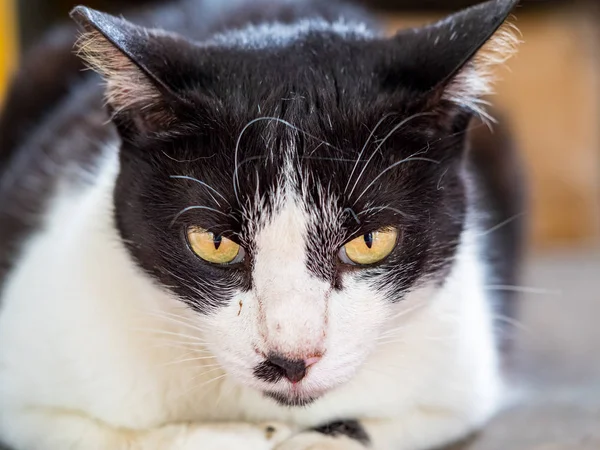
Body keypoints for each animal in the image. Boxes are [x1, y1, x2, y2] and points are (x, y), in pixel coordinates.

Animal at [0, 0, 524, 448]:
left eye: (371, 241)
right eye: (214, 242)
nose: (291, 359)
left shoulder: (457, 380)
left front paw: (308, 438)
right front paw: (247, 436)